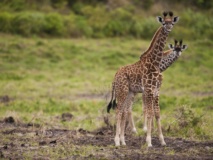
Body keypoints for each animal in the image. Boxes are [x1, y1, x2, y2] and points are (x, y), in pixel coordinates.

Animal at [107, 11, 179, 147]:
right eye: (163, 23)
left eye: (172, 23)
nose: (168, 28)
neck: (155, 62)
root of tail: (115, 76)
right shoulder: (149, 89)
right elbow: (149, 112)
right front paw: (149, 142)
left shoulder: (155, 90)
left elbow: (155, 112)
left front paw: (161, 141)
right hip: (122, 91)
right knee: (119, 111)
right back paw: (117, 142)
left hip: (129, 92)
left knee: (124, 111)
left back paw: (123, 141)